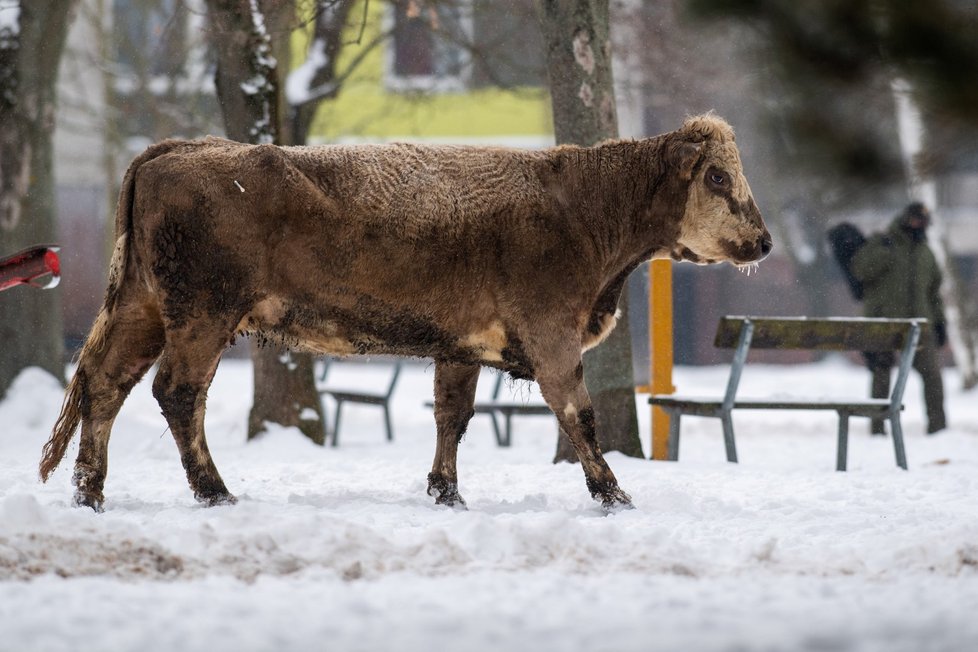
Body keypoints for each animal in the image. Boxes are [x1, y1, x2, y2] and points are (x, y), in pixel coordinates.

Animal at [38, 116, 772, 516]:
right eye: (716, 177)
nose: (765, 241)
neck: (580, 205)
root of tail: (183, 148)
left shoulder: (461, 347)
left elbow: (453, 418)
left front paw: (446, 492)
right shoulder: (552, 337)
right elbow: (579, 417)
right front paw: (614, 495)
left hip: (143, 311)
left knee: (103, 386)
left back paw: (89, 492)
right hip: (201, 316)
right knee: (177, 394)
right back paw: (213, 491)